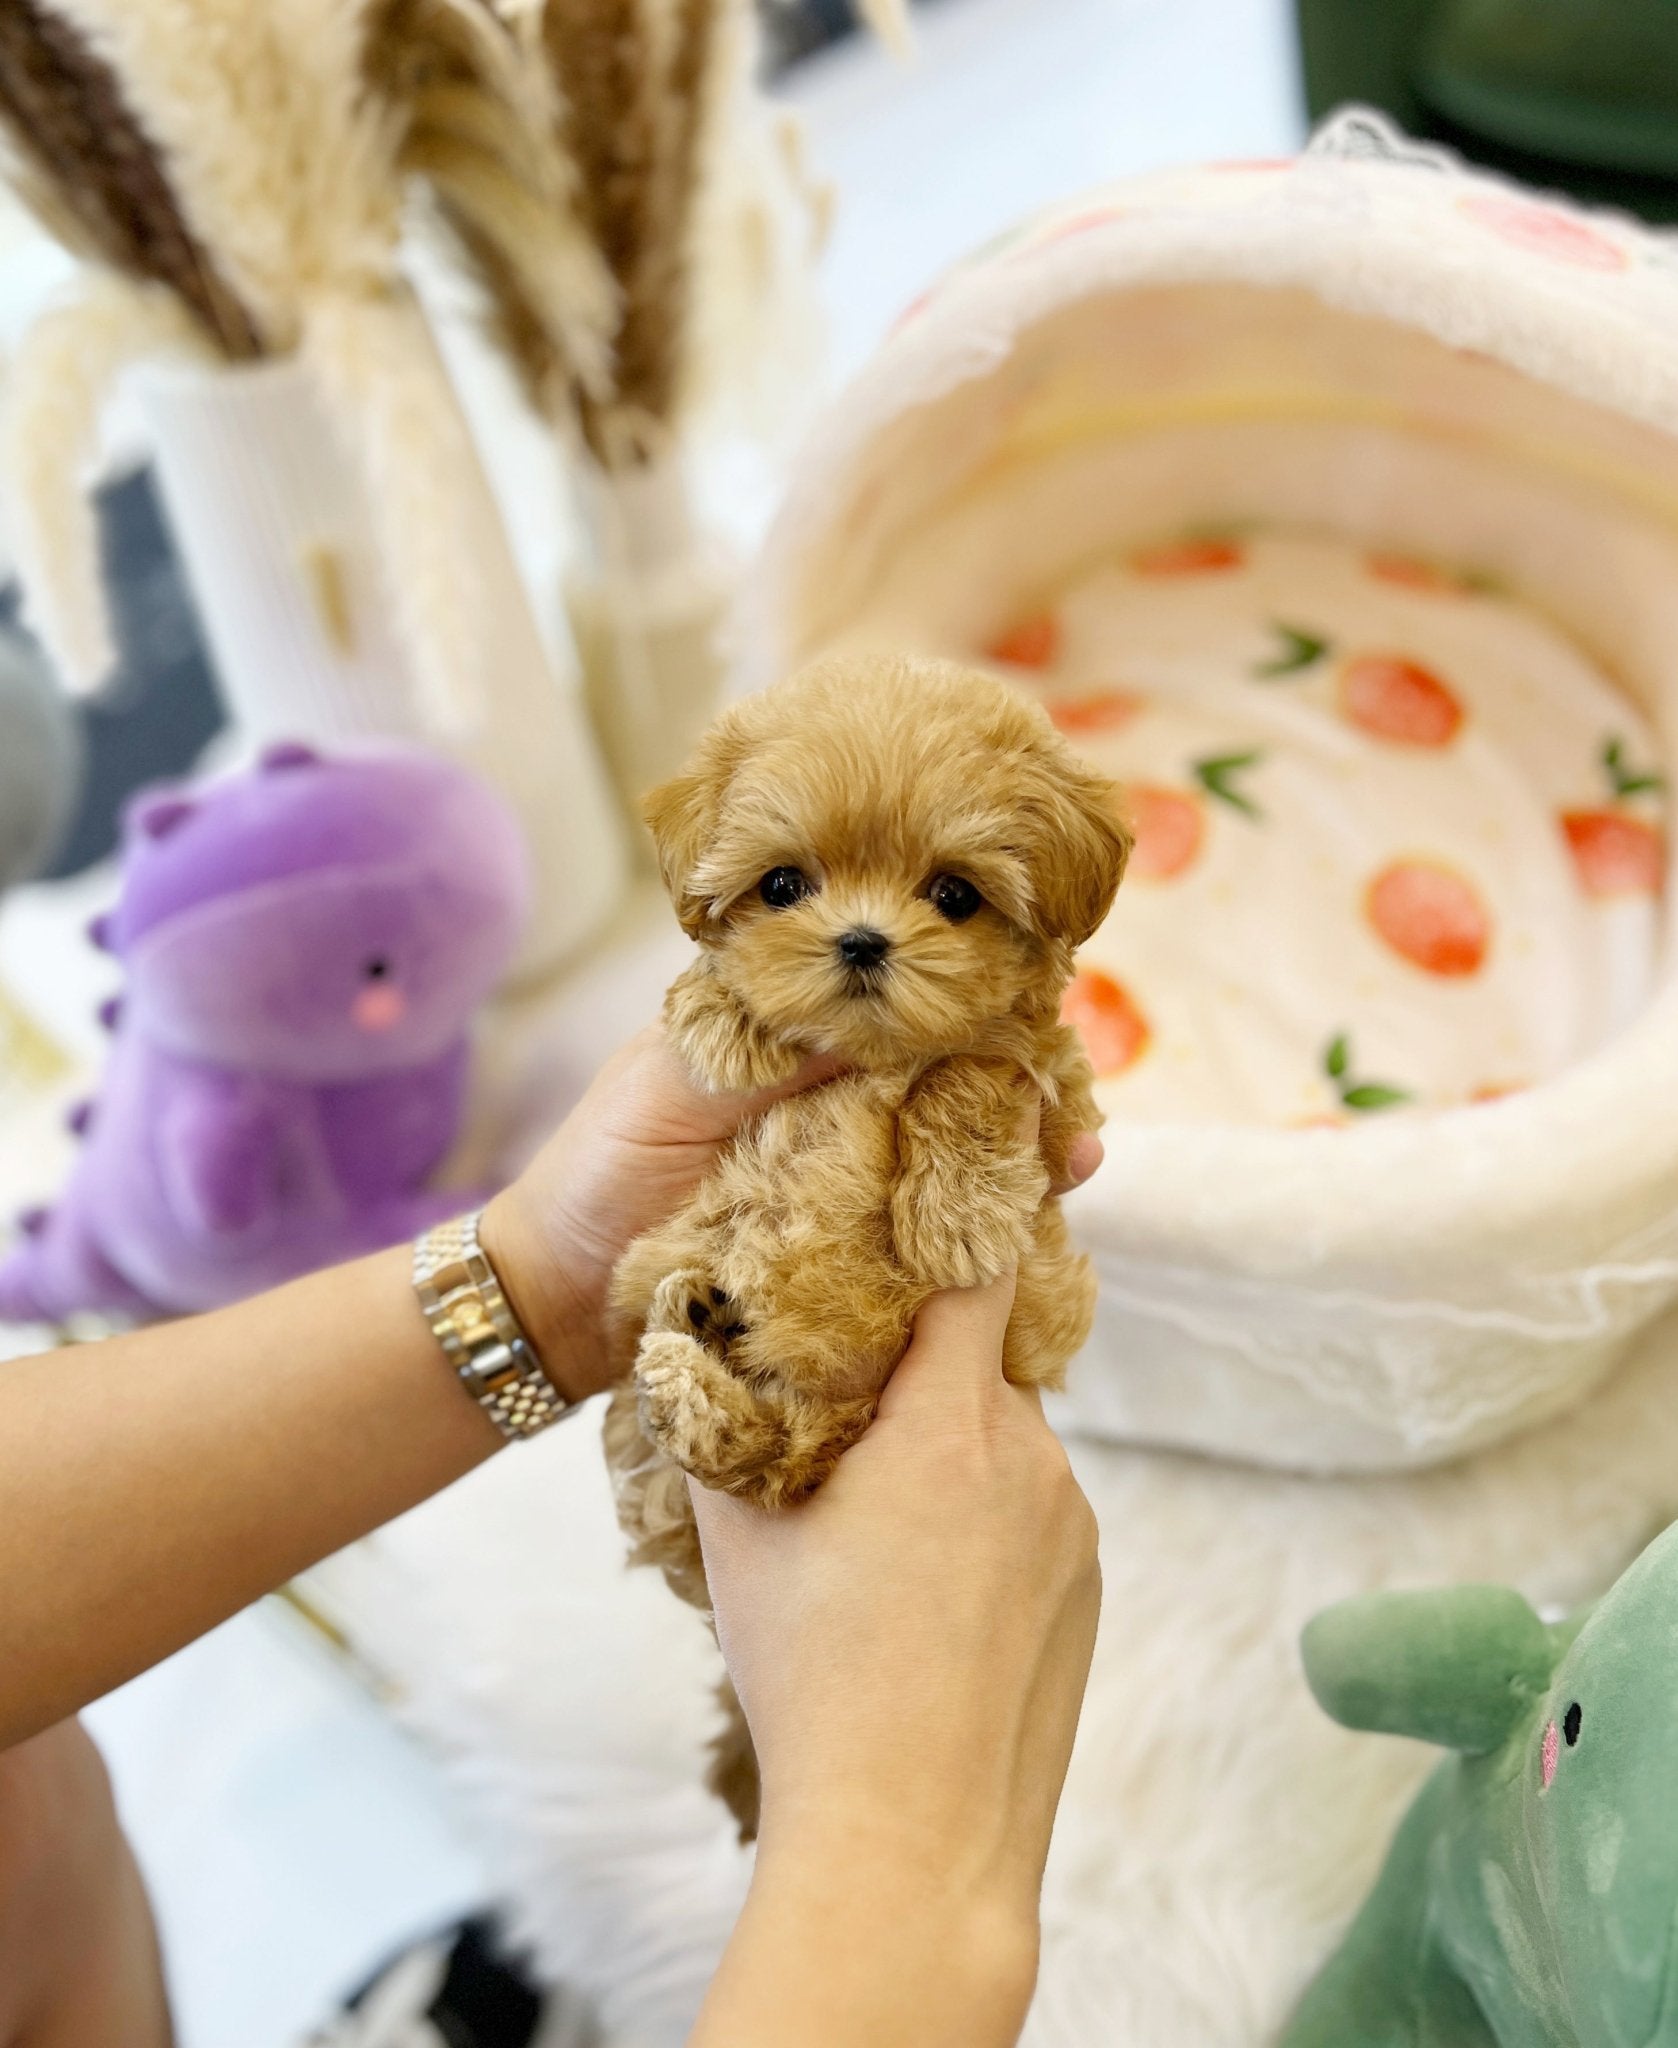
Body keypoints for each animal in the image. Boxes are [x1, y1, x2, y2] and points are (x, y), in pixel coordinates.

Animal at [602, 647, 1130, 1835]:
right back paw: (689, 1353)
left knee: (781, 1462)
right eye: (782, 886)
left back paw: (697, 1364)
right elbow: (712, 991)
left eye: (955, 895)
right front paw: (726, 1019)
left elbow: (973, 1070)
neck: (869, 1054)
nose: (859, 941)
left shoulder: (1055, 1103)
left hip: (822, 1415)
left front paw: (955, 1217)